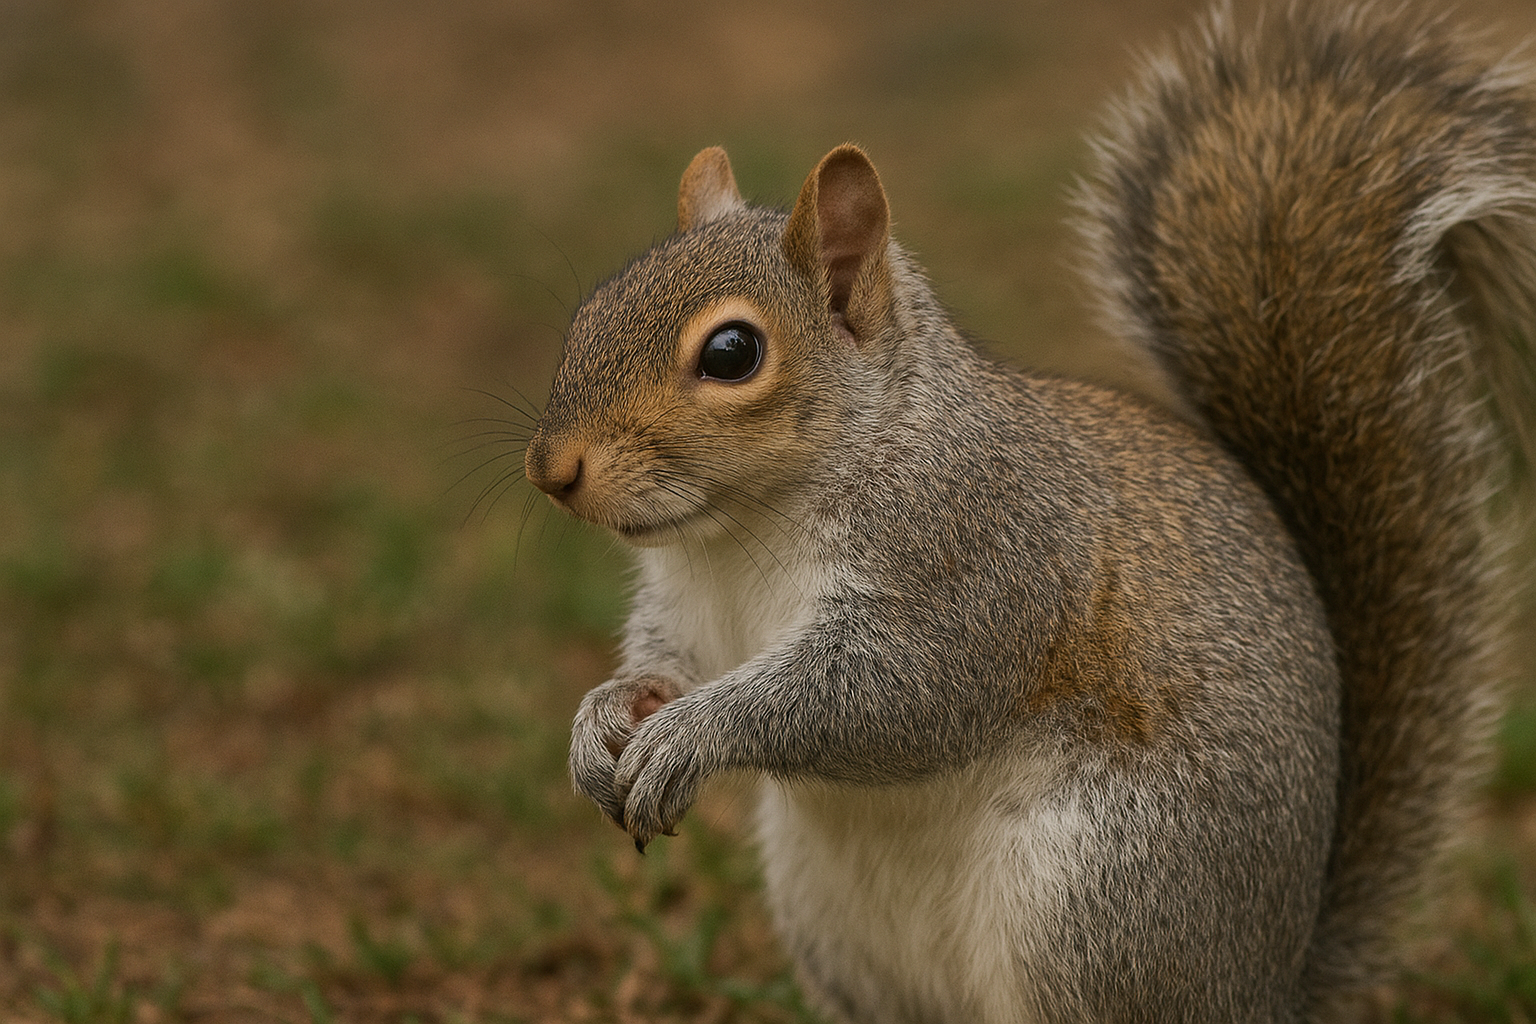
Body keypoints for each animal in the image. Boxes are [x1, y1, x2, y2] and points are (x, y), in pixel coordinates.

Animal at [522, 4, 1536, 1021]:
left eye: (732, 353)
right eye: (590, 310)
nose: (551, 470)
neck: (742, 528)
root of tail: (1267, 990)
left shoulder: (976, 557)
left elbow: (885, 693)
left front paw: (689, 736)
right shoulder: (690, 607)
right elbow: (668, 665)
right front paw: (603, 722)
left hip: (1095, 900)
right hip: (833, 918)